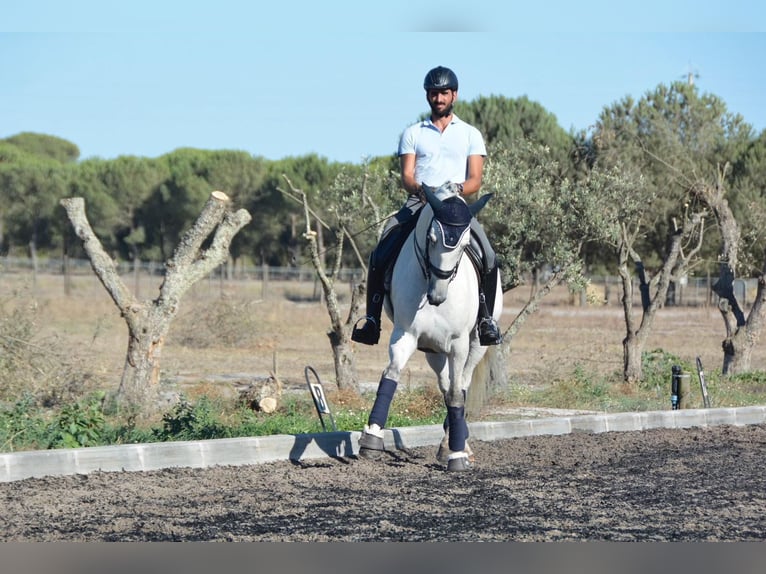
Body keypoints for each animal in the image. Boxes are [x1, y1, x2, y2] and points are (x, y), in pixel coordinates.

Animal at [360, 183, 504, 472]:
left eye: (464, 245)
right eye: (431, 238)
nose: (437, 296)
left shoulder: (459, 343)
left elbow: (457, 394)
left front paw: (457, 456)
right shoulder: (406, 334)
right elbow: (391, 375)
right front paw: (372, 437)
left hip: (476, 345)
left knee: (461, 384)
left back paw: (457, 445)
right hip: (433, 350)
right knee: (445, 384)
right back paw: (448, 443)